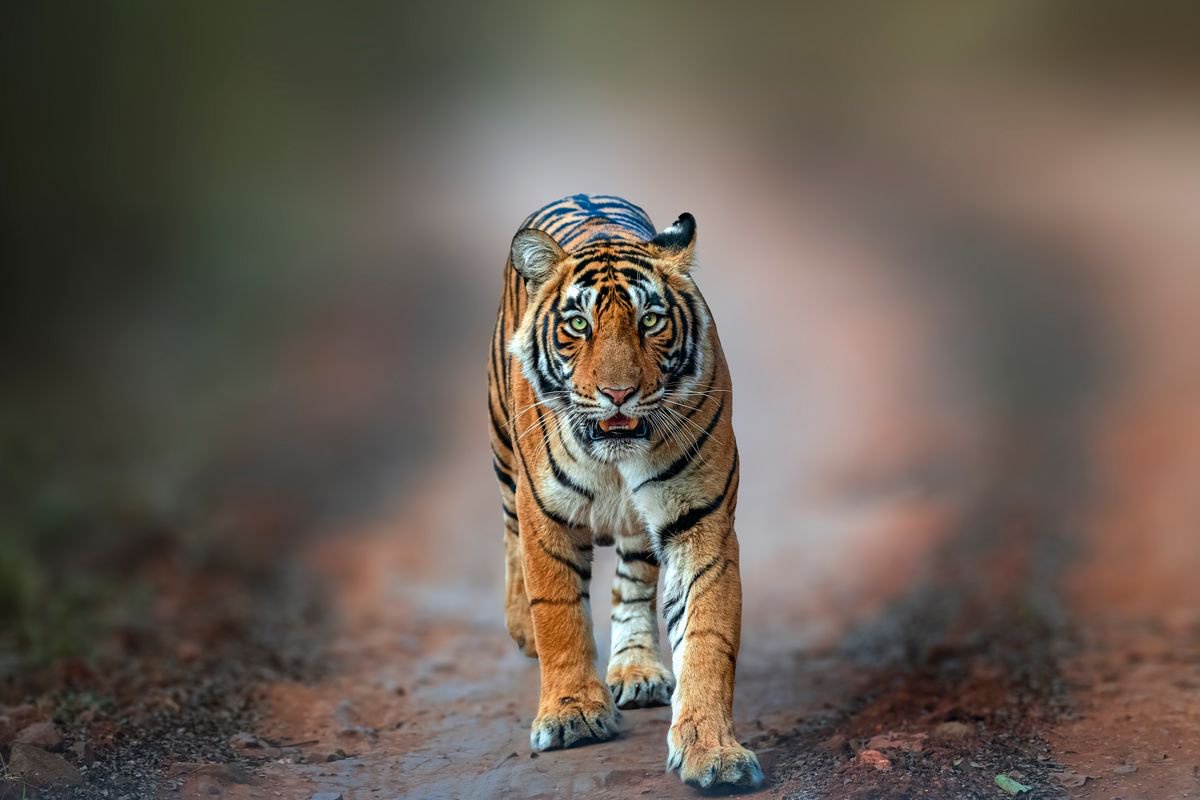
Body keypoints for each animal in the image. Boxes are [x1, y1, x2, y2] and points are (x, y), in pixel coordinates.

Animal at [487, 194, 762, 790]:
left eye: (650, 320)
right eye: (577, 324)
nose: (618, 394)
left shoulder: (699, 520)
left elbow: (706, 637)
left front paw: (713, 751)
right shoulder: (545, 515)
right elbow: (559, 613)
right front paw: (571, 715)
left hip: (642, 524)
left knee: (631, 584)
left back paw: (637, 669)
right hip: (501, 448)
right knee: (508, 534)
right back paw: (521, 628)